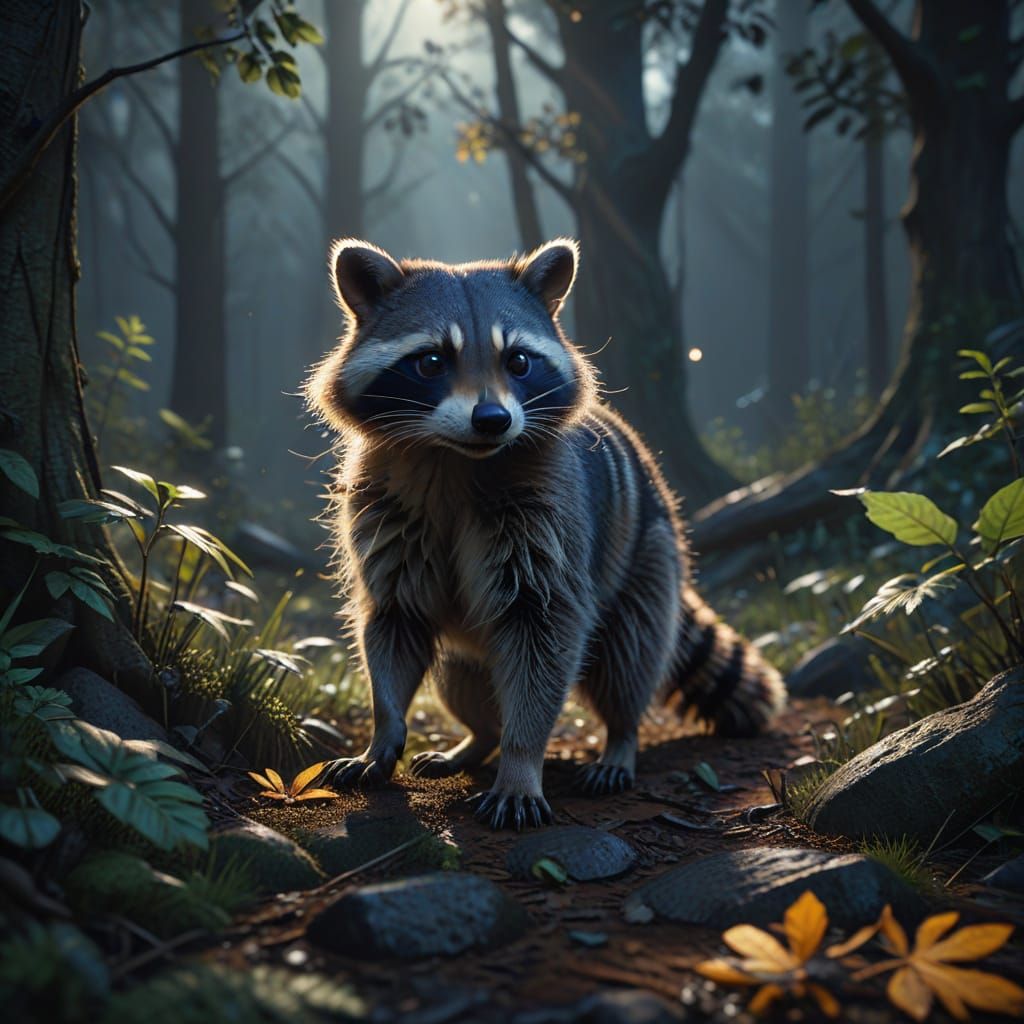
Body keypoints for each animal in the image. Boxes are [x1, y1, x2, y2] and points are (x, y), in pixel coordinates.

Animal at [307, 238, 785, 830]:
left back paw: (619, 739)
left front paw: (520, 762)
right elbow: (394, 621)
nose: (492, 419)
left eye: (518, 360)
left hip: (649, 559)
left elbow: (547, 633)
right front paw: (384, 732)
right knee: (462, 679)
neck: (454, 459)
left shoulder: (551, 519)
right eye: (431, 360)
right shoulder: (388, 512)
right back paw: (478, 738)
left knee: (629, 659)